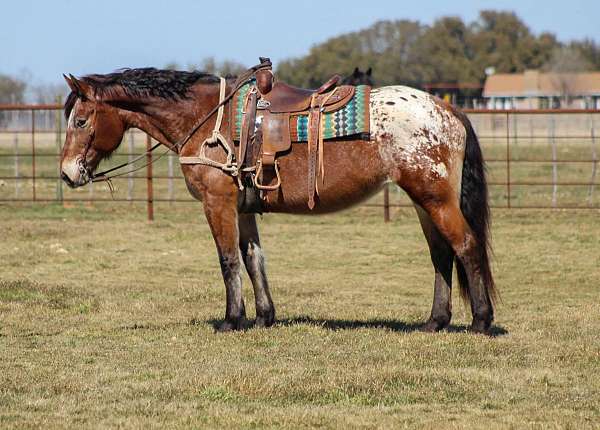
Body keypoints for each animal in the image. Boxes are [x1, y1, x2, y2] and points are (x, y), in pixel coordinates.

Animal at [59, 66, 496, 336]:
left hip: (435, 198)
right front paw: (264, 316)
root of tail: (448, 109)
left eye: (80, 120)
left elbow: (228, 260)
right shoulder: (242, 208)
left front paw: (232, 319)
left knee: (466, 246)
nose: (67, 173)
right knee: (441, 255)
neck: (208, 118)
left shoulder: (217, 203)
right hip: (425, 202)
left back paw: (481, 321)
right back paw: (435, 321)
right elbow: (254, 258)